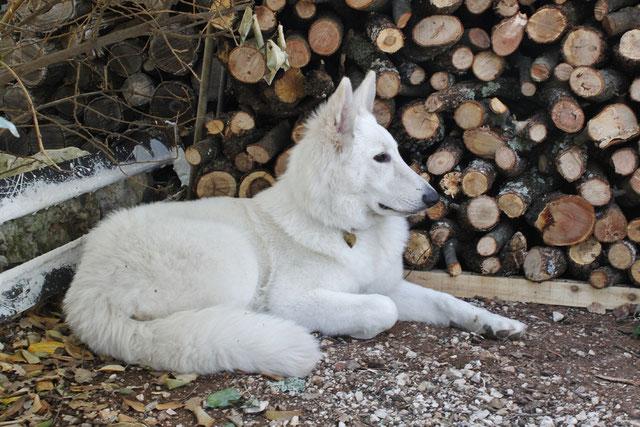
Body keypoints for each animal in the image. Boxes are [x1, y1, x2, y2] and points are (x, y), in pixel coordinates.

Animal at [62, 72, 528, 380]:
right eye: (381, 158)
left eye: (396, 152)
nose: (434, 199)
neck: (346, 227)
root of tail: (85, 292)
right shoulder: (302, 297)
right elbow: (384, 309)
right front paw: (361, 325)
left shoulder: (388, 284)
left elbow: (445, 301)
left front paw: (491, 322)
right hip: (232, 261)